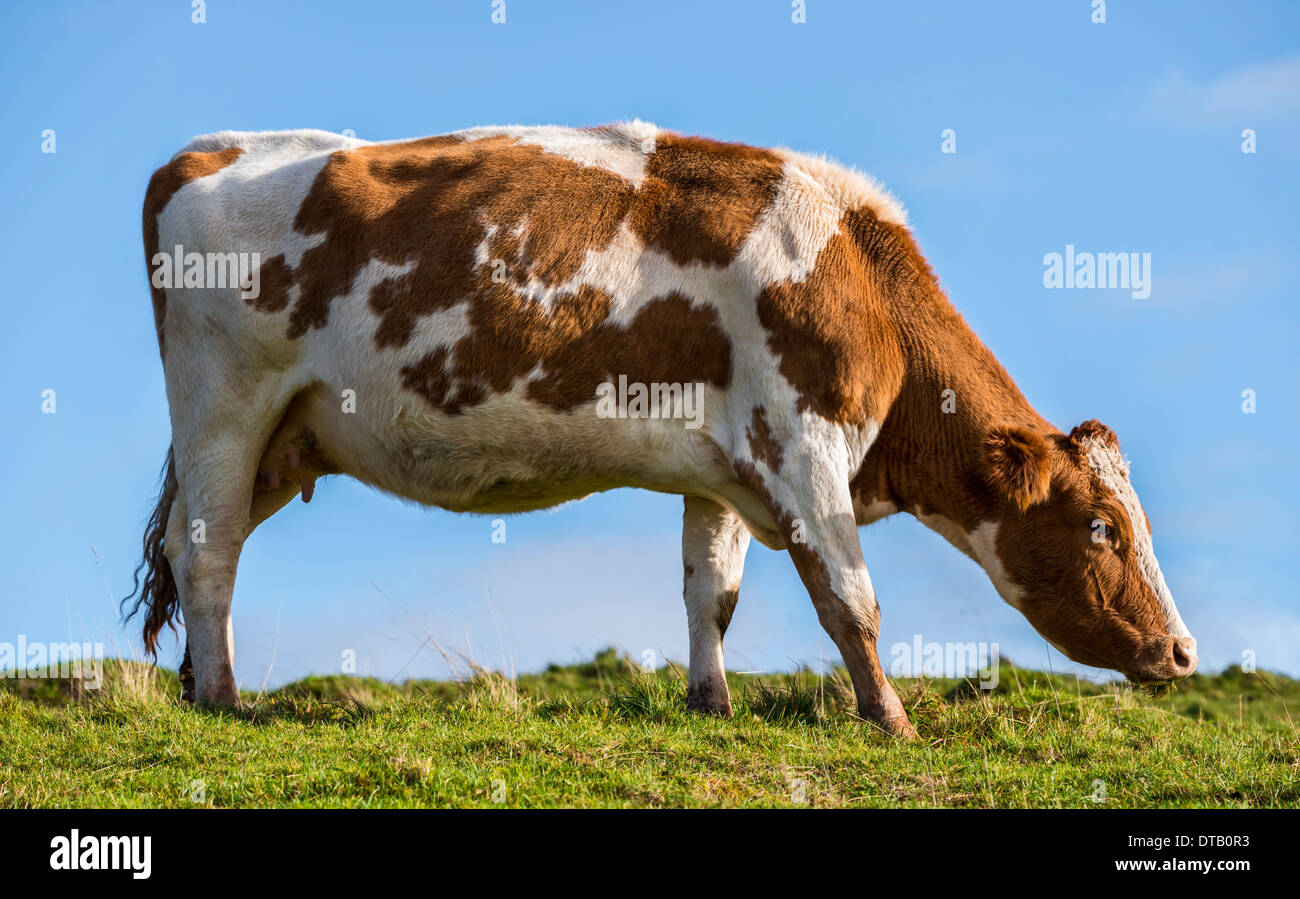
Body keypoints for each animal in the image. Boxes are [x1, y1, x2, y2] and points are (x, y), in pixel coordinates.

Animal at [126, 122, 1197, 736]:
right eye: (1103, 526)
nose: (1183, 652)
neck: (860, 278)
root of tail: (202, 150)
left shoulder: (724, 467)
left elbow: (710, 594)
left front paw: (710, 702)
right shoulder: (805, 447)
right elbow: (851, 599)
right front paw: (890, 718)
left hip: (283, 440)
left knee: (191, 544)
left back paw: (200, 684)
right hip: (224, 407)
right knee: (208, 551)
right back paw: (223, 697)